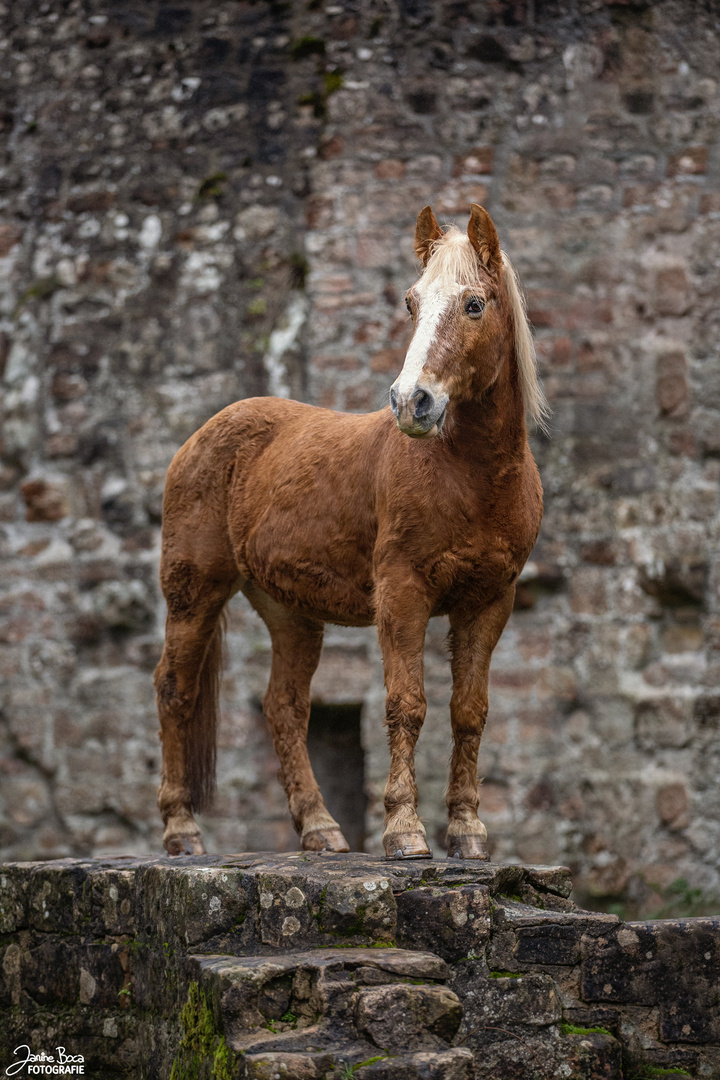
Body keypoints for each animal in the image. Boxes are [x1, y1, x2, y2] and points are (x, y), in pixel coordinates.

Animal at [153, 203, 546, 859]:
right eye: (412, 303)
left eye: (474, 304)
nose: (412, 402)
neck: (473, 478)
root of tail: (205, 433)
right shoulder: (403, 594)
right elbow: (406, 705)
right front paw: (405, 831)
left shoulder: (490, 601)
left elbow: (469, 711)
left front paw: (467, 832)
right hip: (194, 595)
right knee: (174, 690)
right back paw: (182, 830)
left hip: (290, 612)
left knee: (283, 708)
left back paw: (321, 828)